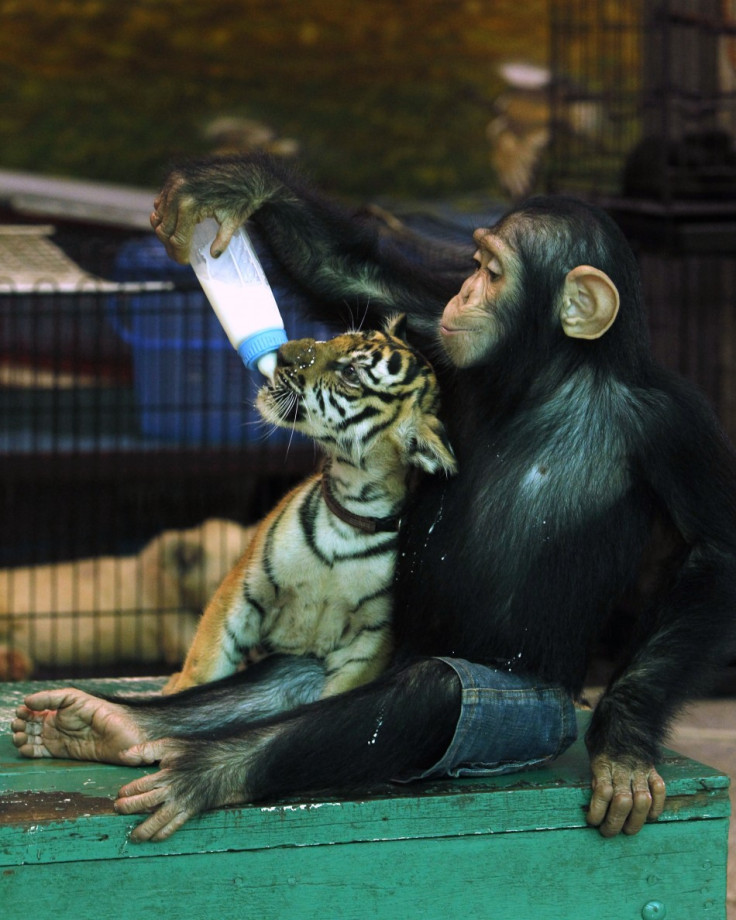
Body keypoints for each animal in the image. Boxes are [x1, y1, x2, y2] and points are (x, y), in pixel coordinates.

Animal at [10, 155, 736, 844]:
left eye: (352, 373)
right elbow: (357, 273)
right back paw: (107, 724)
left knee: (419, 694)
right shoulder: (242, 593)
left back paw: (201, 768)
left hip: (513, 707)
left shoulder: (672, 423)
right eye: (473, 266)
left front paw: (624, 743)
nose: (281, 356)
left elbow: (713, 546)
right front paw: (231, 184)